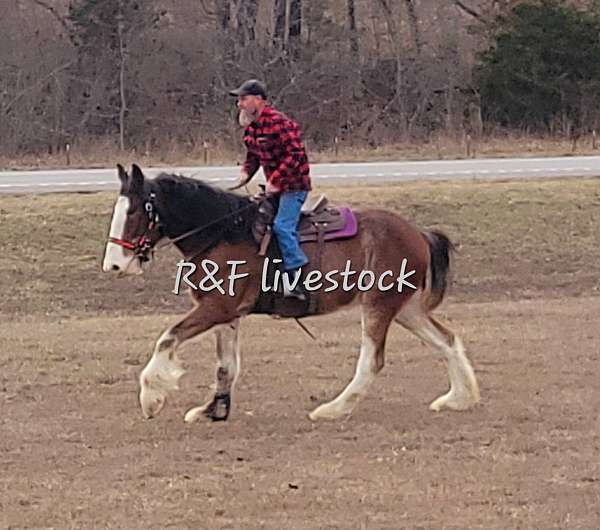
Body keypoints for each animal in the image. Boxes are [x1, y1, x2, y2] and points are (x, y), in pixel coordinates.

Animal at [102, 163, 478, 422]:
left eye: (134, 210)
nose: (114, 266)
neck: (222, 232)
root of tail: (417, 233)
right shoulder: (228, 315)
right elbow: (226, 366)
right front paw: (214, 410)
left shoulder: (216, 308)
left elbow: (166, 339)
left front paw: (151, 397)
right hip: (406, 308)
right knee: (446, 341)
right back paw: (459, 398)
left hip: (379, 306)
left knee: (372, 360)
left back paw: (333, 409)